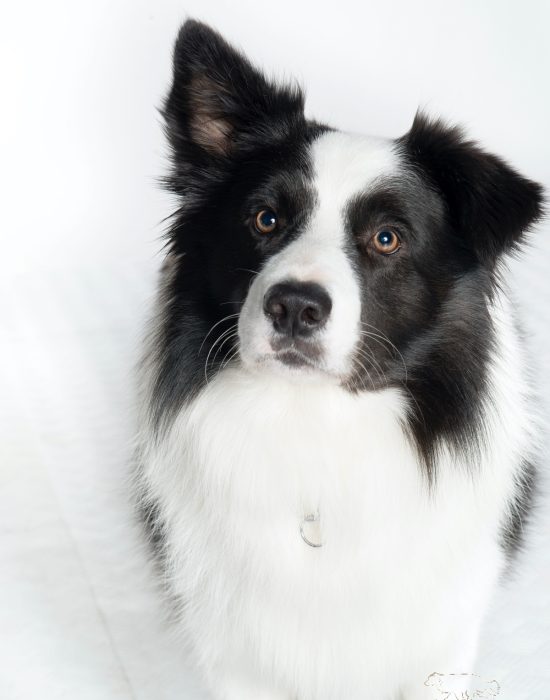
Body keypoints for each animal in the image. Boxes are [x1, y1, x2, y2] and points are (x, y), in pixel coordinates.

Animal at [135, 19, 548, 696]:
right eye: (265, 218)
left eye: (387, 238)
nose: (294, 307)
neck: (318, 425)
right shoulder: (237, 652)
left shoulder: (440, 641)